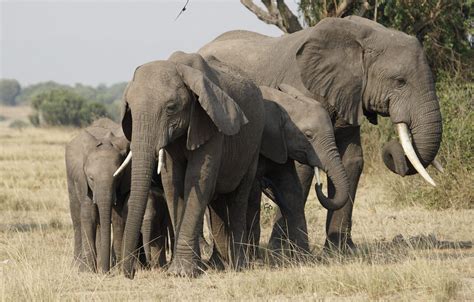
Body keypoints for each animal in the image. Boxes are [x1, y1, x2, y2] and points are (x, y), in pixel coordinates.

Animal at [115, 51, 266, 278]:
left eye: (171, 108)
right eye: (130, 109)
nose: (130, 274)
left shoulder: (210, 123)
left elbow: (198, 178)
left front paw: (183, 272)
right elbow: (172, 184)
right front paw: (186, 269)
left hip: (252, 147)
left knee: (239, 197)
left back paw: (238, 266)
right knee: (217, 204)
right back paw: (217, 265)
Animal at [198, 15, 442, 250]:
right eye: (400, 81)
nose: (393, 150)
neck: (362, 34)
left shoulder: (348, 94)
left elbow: (352, 161)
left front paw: (340, 250)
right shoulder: (302, 88)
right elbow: (301, 168)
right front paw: (282, 250)